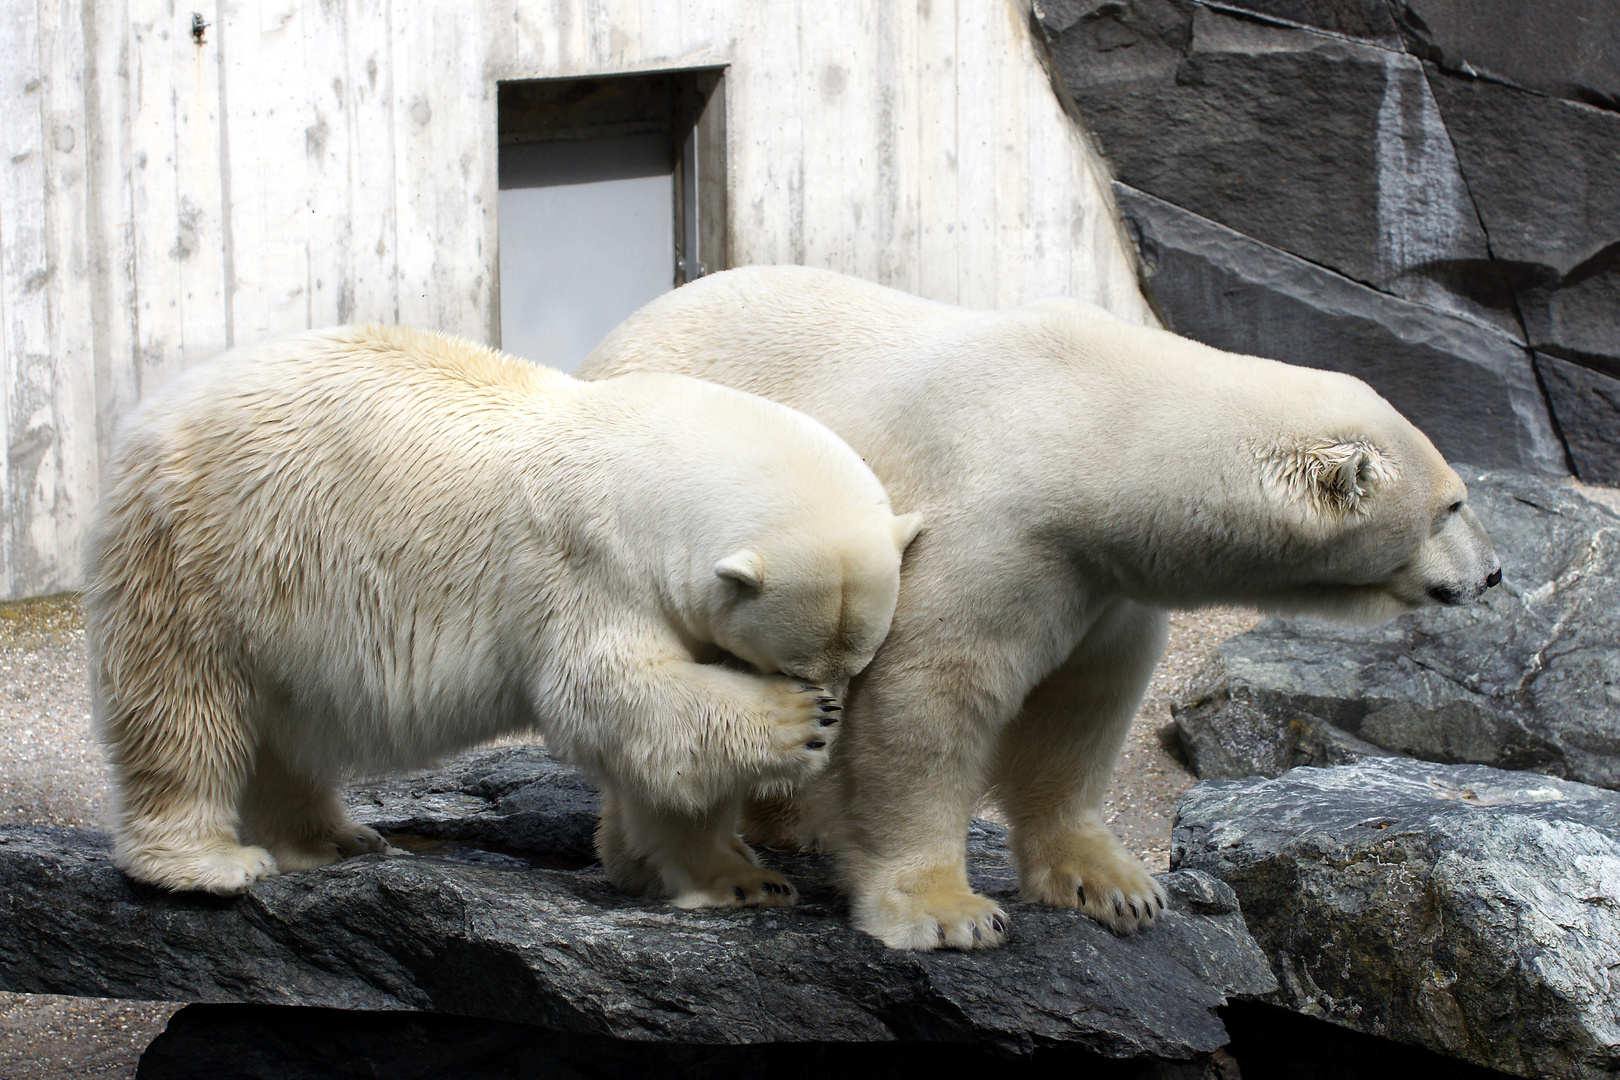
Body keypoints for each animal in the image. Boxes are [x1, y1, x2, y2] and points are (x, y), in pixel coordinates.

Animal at [88, 325, 926, 906]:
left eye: (859, 664)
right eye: (790, 665)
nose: (832, 714)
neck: (652, 462)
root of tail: (147, 415)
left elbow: (662, 752)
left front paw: (733, 877)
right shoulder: (591, 563)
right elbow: (612, 693)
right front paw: (793, 730)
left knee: (288, 725)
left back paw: (331, 840)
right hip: (208, 550)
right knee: (184, 701)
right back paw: (206, 865)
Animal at [583, 265, 1503, 952]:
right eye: (1453, 507)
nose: (1493, 575)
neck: (1096, 430)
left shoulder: (1105, 581)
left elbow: (1082, 704)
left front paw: (1118, 887)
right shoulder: (995, 532)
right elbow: (930, 699)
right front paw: (945, 911)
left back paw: (790, 825)